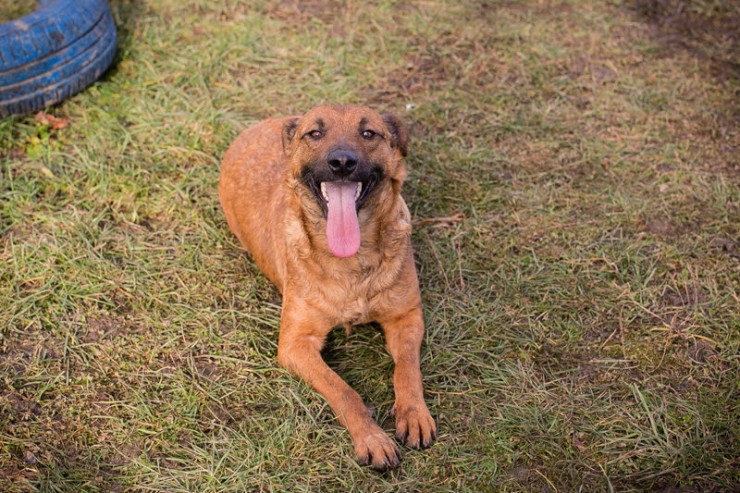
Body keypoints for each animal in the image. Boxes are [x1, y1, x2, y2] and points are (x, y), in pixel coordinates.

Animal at [217, 104, 436, 468]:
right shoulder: (295, 345)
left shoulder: (406, 317)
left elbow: (407, 369)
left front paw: (413, 413)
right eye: (315, 133)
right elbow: (342, 390)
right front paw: (372, 437)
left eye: (368, 133)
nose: (342, 162)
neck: (351, 262)